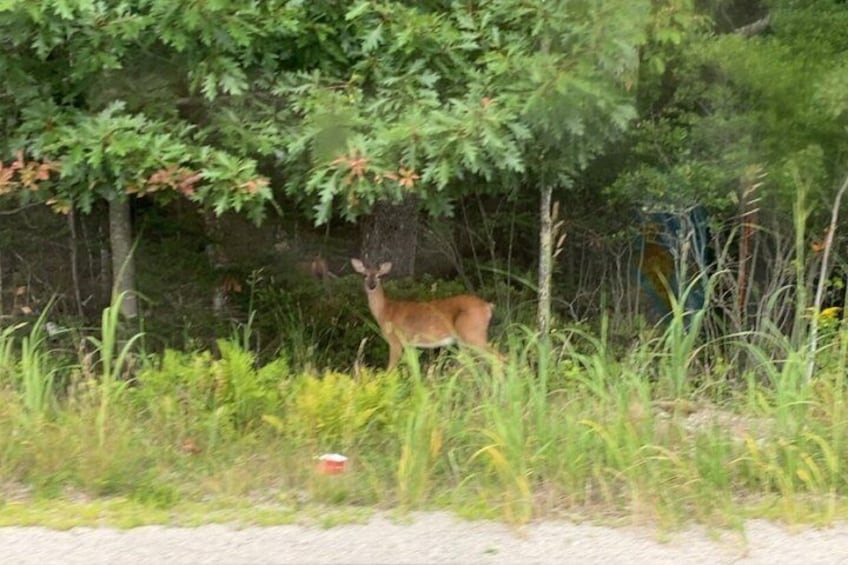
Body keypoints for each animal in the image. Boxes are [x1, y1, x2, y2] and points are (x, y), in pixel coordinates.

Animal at [351, 258, 497, 370]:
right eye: (364, 275)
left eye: (379, 276)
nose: (371, 286)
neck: (385, 311)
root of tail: (487, 307)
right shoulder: (409, 345)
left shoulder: (396, 341)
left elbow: (390, 370)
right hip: (464, 339)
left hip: (473, 334)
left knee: (497, 358)